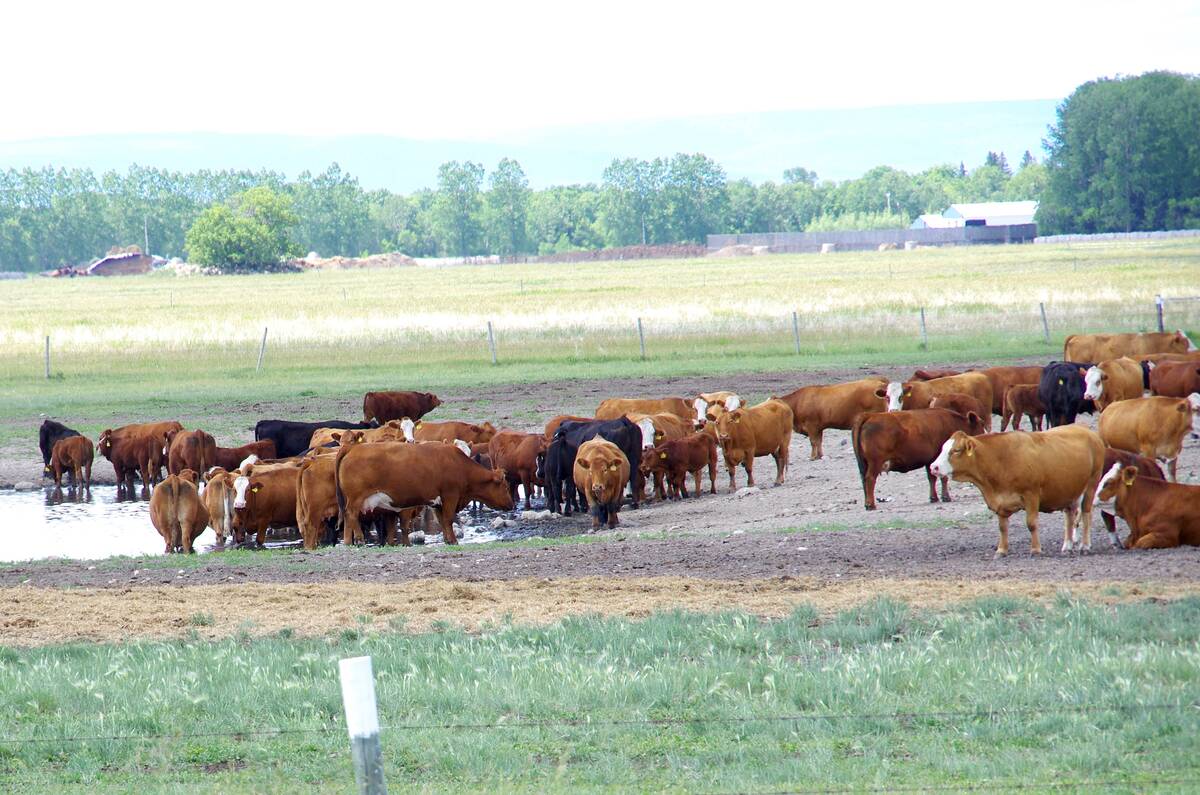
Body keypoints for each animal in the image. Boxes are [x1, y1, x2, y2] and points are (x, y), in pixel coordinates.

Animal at [335, 441, 513, 545]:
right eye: (505, 487)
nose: (511, 505)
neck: (460, 465)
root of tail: (352, 447)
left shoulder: (437, 502)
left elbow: (442, 521)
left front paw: (447, 540)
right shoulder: (450, 496)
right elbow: (448, 519)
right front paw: (453, 540)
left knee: (347, 518)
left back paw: (348, 542)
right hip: (356, 499)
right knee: (352, 515)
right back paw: (359, 539)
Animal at [852, 407, 988, 510]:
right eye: (981, 424)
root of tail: (870, 415)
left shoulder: (930, 461)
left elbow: (932, 478)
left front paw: (934, 498)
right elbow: (943, 478)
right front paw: (946, 497)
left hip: (864, 464)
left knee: (864, 480)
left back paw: (867, 503)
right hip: (875, 462)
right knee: (870, 479)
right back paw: (871, 505)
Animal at [930, 425, 1106, 556]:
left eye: (956, 450)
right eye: (943, 448)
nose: (934, 467)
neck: (1000, 460)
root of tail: (1091, 433)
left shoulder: (1031, 495)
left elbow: (1031, 523)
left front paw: (1035, 549)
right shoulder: (1000, 501)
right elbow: (1002, 527)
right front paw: (1001, 550)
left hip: (1091, 484)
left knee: (1086, 514)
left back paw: (1085, 545)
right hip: (1069, 490)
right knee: (1070, 515)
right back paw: (1067, 545)